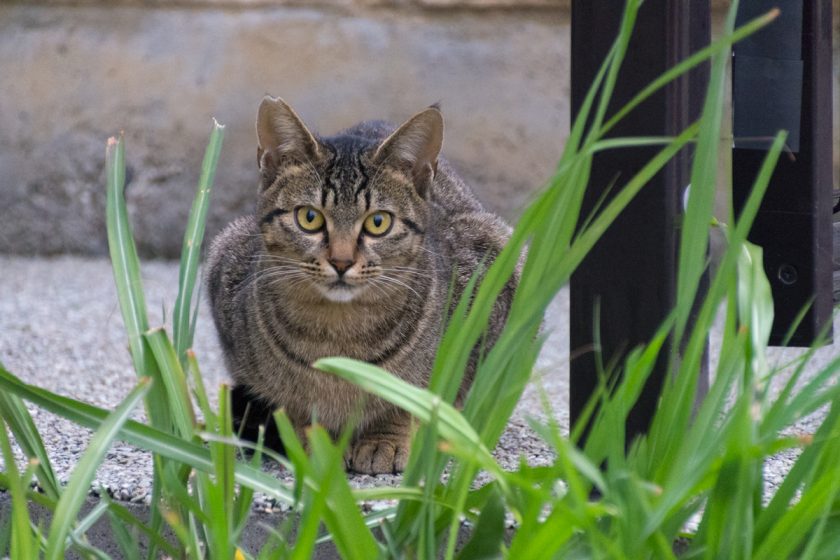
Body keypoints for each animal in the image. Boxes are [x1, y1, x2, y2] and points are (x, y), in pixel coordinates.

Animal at [207, 96, 516, 472]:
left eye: (378, 222)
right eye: (309, 217)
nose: (341, 262)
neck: (338, 333)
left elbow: (408, 397)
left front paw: (385, 439)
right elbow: (293, 404)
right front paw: (314, 445)